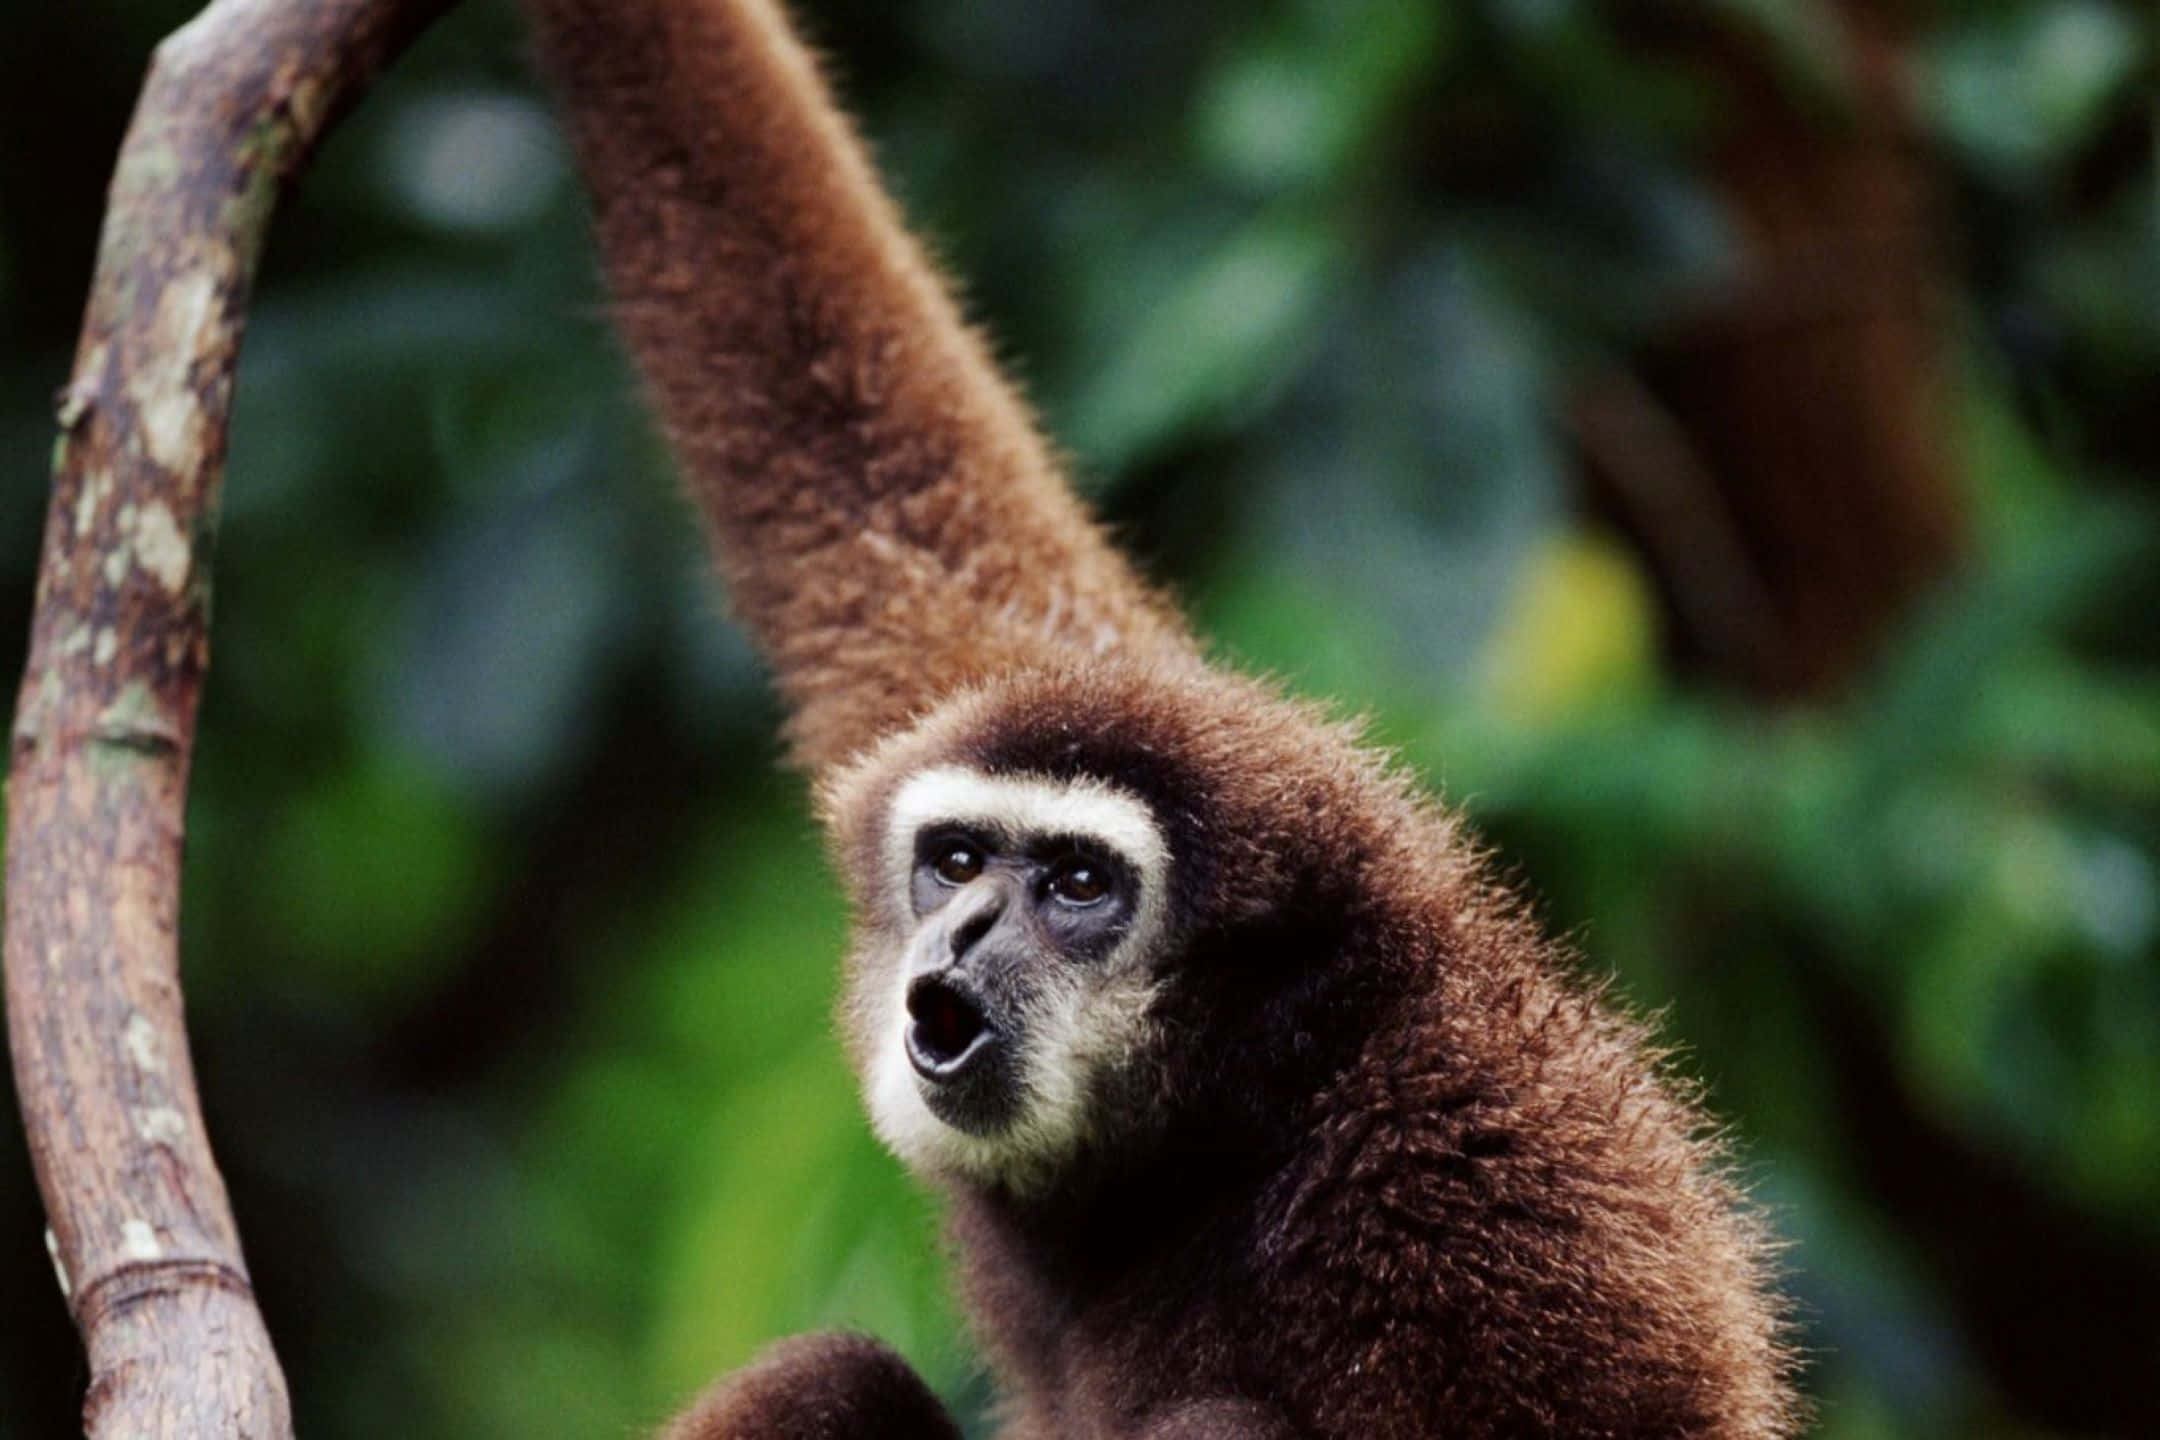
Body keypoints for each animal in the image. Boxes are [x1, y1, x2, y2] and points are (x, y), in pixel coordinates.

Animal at [516, 0, 1801, 1435]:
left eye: (1079, 885)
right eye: (955, 859)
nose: (962, 930)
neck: (1240, 1124)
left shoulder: (1499, 1219)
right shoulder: (1027, 669)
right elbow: (862, 462)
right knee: (829, 1374)